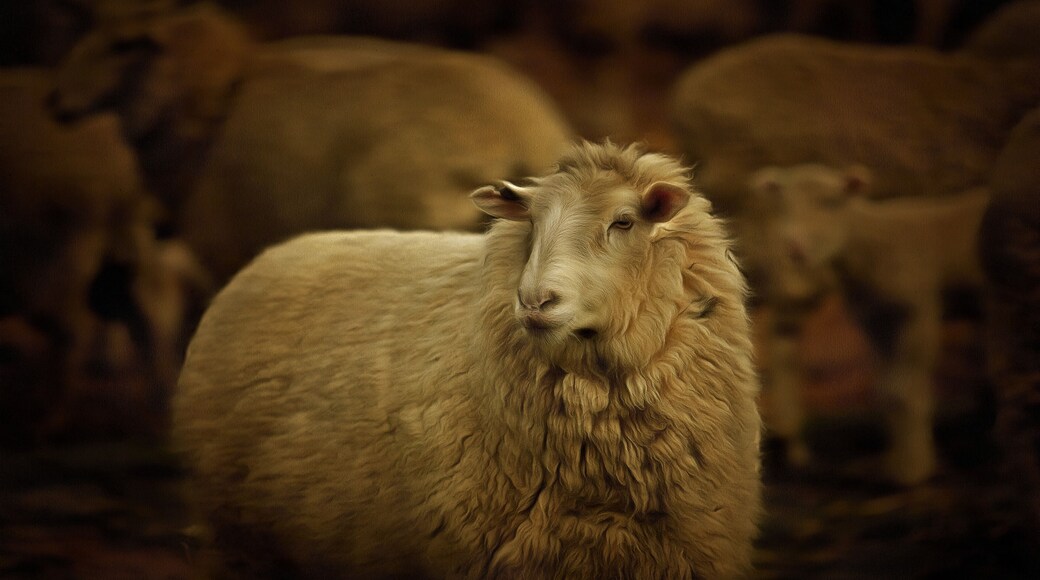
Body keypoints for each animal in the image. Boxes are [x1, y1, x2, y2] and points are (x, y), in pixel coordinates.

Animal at [745, 163, 990, 485]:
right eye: (783, 206)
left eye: (831, 203)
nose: (793, 247)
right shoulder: (876, 320)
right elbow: (887, 392)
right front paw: (898, 465)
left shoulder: (918, 310)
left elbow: (905, 391)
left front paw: (914, 472)